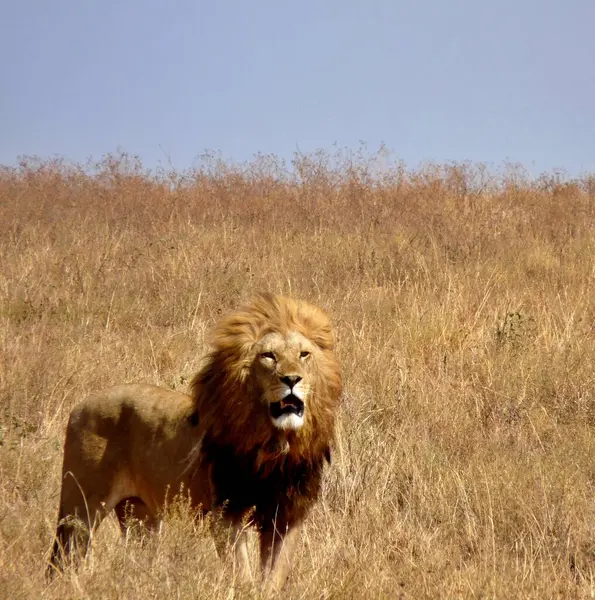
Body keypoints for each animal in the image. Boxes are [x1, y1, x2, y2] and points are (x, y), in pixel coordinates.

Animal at [50, 292, 344, 592]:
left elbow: (274, 575)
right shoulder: (227, 512)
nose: (292, 379)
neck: (275, 443)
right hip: (81, 508)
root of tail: (80, 405)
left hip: (139, 515)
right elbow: (242, 572)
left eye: (304, 354)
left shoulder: (286, 515)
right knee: (64, 558)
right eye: (269, 356)